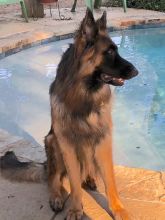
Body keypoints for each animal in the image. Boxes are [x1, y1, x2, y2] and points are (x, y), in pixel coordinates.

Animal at [0, 9, 138, 220]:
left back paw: (89, 178)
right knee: (53, 178)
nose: (137, 71)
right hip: (52, 141)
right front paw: (75, 209)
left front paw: (118, 210)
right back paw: (57, 196)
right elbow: (73, 184)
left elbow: (111, 181)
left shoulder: (103, 140)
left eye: (115, 50)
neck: (84, 95)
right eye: (109, 52)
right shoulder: (67, 144)